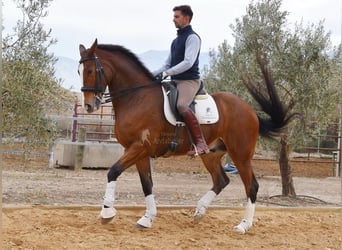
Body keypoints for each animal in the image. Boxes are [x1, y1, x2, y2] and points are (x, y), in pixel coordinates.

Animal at [77, 38, 294, 233]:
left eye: (90, 71)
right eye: (79, 71)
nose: (88, 106)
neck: (137, 97)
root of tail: (250, 110)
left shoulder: (139, 147)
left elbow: (113, 171)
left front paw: (107, 213)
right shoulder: (138, 152)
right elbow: (147, 184)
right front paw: (147, 219)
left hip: (240, 154)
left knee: (251, 186)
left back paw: (243, 225)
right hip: (210, 153)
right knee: (221, 180)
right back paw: (199, 211)